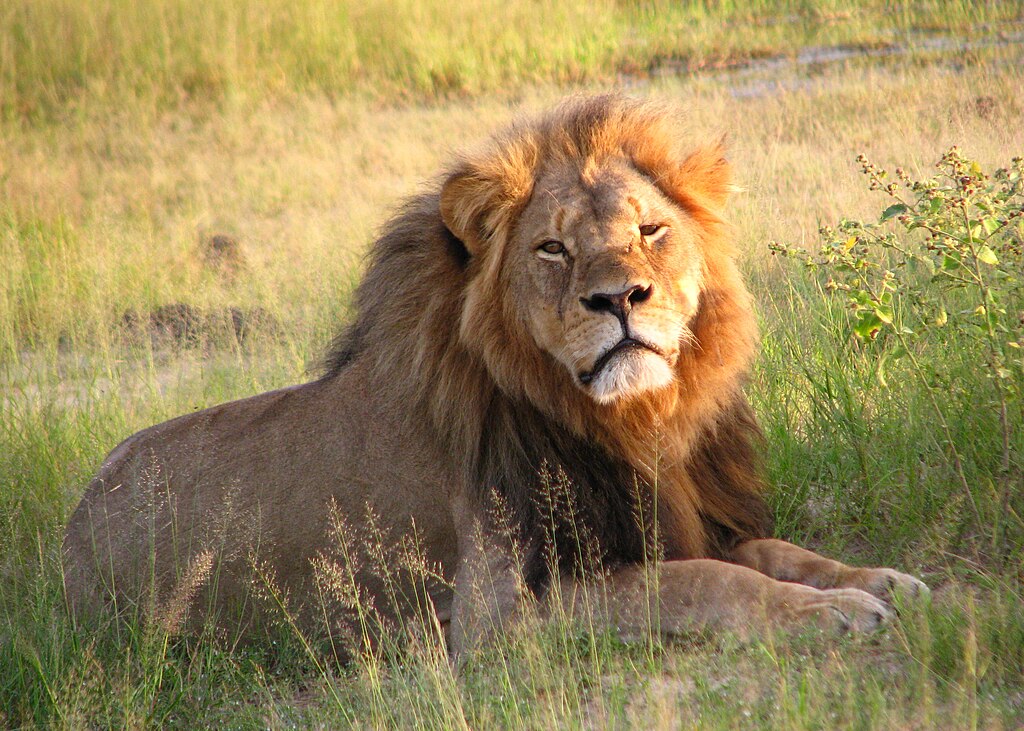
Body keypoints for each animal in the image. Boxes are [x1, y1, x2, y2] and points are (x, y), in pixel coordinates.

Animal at [63, 94, 926, 656]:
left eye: (651, 229)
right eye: (553, 248)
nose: (620, 298)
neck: (632, 421)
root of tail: (69, 528)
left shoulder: (672, 512)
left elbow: (776, 551)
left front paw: (879, 579)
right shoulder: (496, 610)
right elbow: (704, 580)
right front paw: (832, 612)